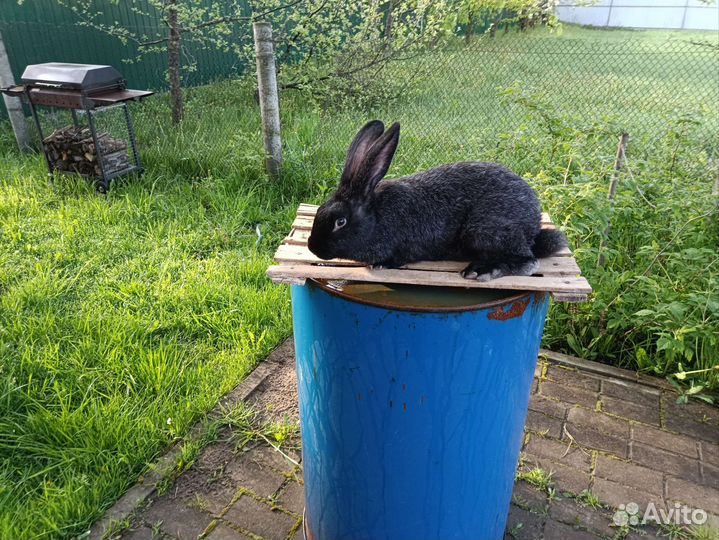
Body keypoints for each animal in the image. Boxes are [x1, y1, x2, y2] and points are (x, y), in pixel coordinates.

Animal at [307, 120, 567, 281]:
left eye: (340, 222)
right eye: (318, 212)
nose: (312, 247)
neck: (376, 217)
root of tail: (533, 224)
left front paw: (380, 264)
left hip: (484, 229)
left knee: (528, 261)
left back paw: (480, 271)